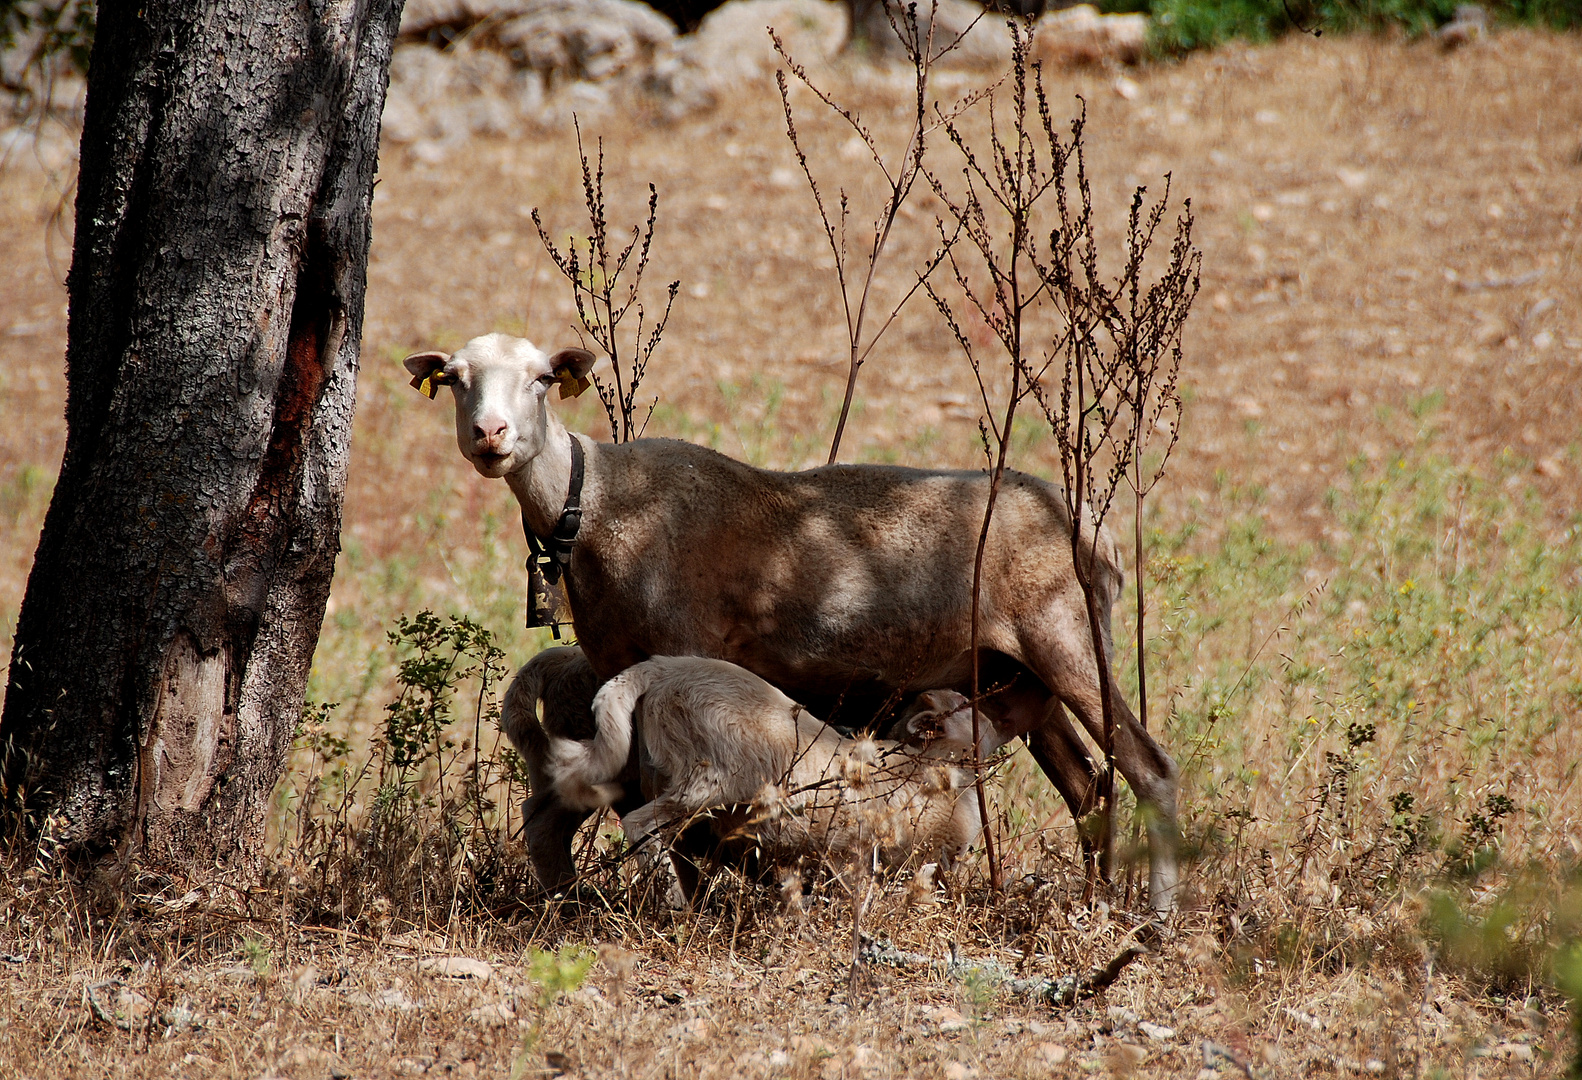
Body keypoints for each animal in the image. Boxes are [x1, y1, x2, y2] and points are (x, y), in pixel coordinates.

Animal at [550, 654, 980, 898]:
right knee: (641, 822)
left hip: (669, 774)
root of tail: (660, 668)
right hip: (714, 777)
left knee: (667, 835)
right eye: (963, 703)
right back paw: (675, 900)